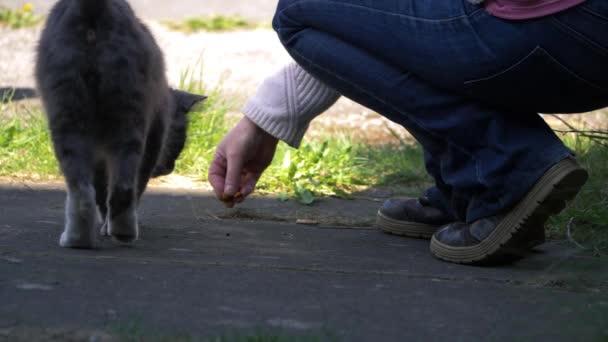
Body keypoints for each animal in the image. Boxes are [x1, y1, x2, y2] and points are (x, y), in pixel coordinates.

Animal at [35, 0, 207, 247]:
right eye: (179, 143)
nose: (169, 168)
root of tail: (94, 9)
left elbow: (103, 190)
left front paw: (105, 227)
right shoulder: (155, 139)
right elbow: (134, 187)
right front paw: (107, 227)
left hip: (70, 114)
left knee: (86, 190)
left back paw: (78, 239)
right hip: (127, 116)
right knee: (122, 187)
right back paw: (120, 233)